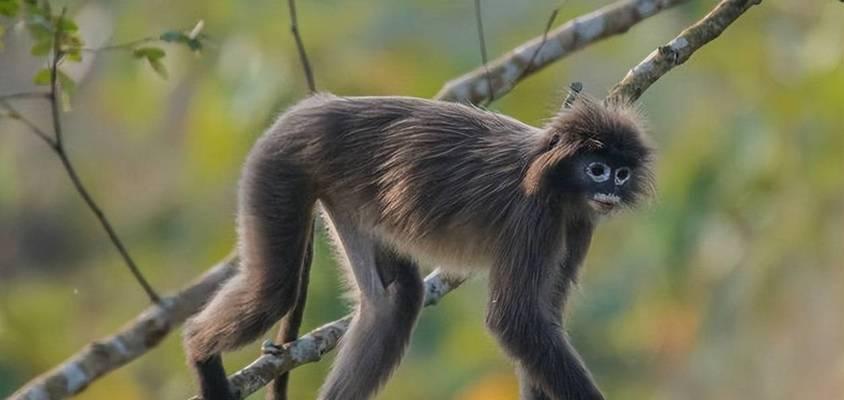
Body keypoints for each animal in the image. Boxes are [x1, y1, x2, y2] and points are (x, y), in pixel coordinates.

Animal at [185, 91, 656, 400]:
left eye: (620, 174)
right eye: (597, 169)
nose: (610, 190)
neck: (555, 179)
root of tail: (315, 105)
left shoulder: (577, 223)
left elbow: (543, 318)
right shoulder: (534, 217)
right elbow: (516, 321)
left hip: (347, 195)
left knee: (394, 301)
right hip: (279, 167)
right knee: (274, 292)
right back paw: (200, 354)